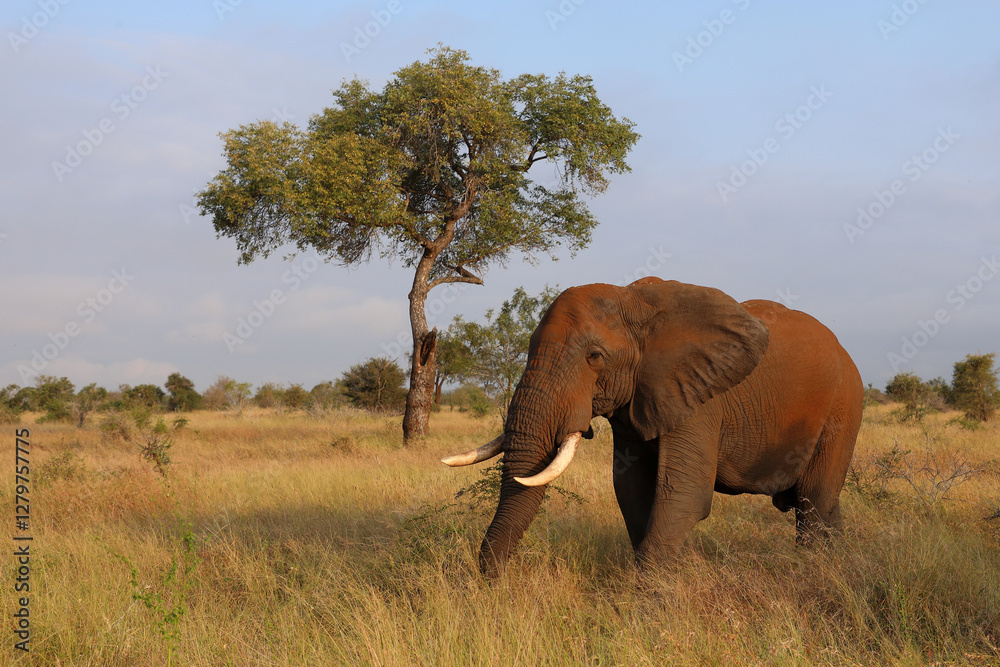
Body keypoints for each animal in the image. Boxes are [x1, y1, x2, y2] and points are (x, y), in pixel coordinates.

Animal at [441, 277, 863, 577]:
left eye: (594, 357)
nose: (493, 584)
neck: (633, 300)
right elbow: (632, 491)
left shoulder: (699, 398)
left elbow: (683, 495)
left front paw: (646, 607)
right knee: (824, 505)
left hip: (843, 408)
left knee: (813, 500)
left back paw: (814, 572)